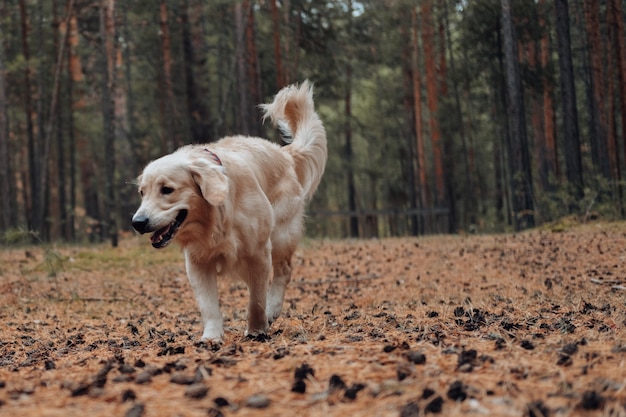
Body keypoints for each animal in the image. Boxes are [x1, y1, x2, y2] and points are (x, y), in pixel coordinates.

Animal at [130, 82, 326, 342]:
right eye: (142, 192)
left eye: (167, 189)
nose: (137, 222)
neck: (214, 218)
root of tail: (283, 153)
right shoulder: (197, 261)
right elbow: (209, 305)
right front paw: (211, 337)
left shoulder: (258, 252)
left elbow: (256, 300)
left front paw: (256, 329)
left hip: (281, 235)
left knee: (284, 271)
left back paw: (273, 309)